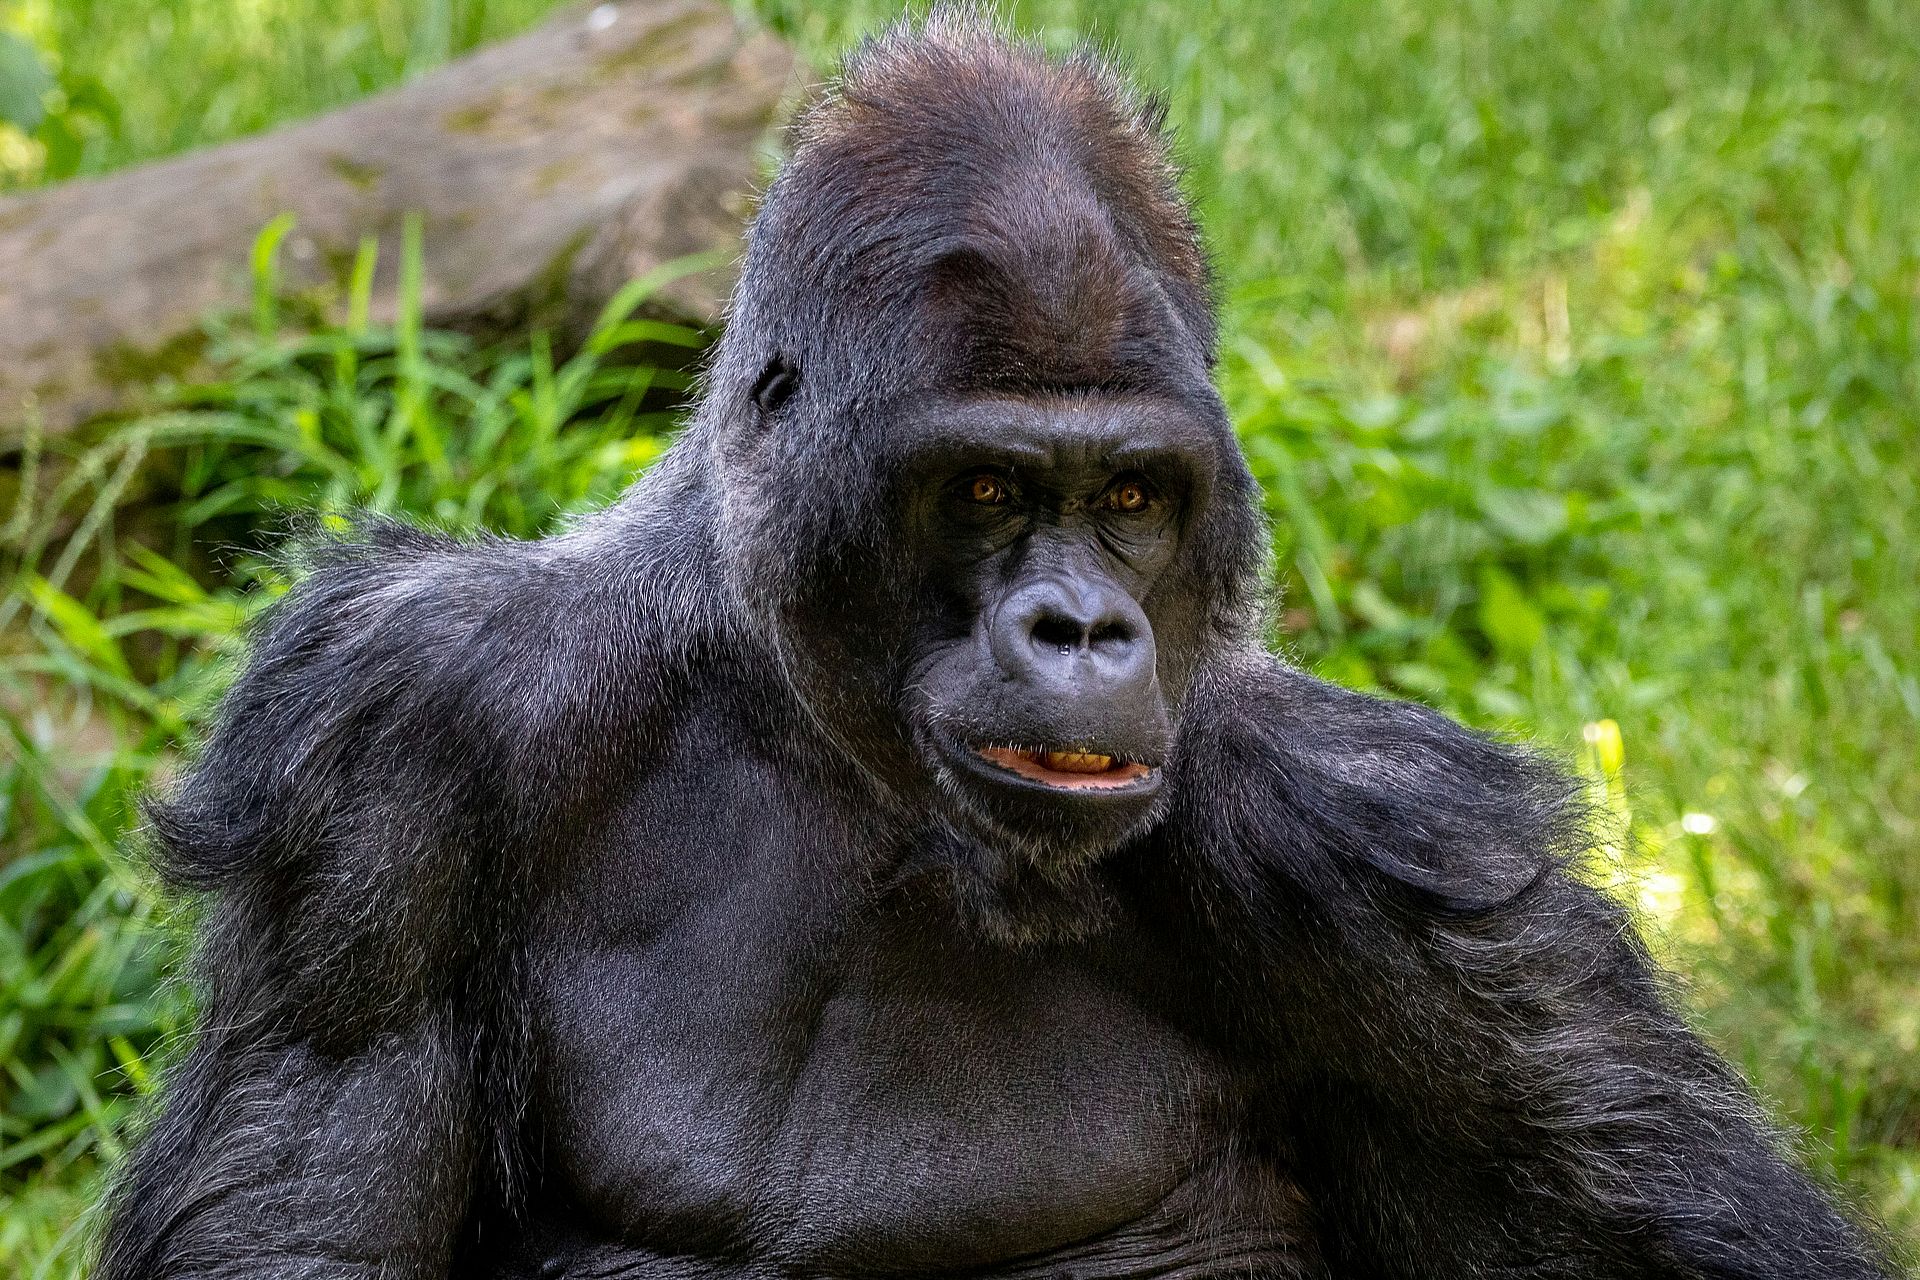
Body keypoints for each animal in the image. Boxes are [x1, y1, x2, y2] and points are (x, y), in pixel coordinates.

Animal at [97, 10, 1881, 1280]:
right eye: (985, 489)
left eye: (1137, 495)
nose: (1081, 627)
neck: (827, 741)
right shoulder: (396, 741)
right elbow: (308, 1227)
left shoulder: (1415, 874)